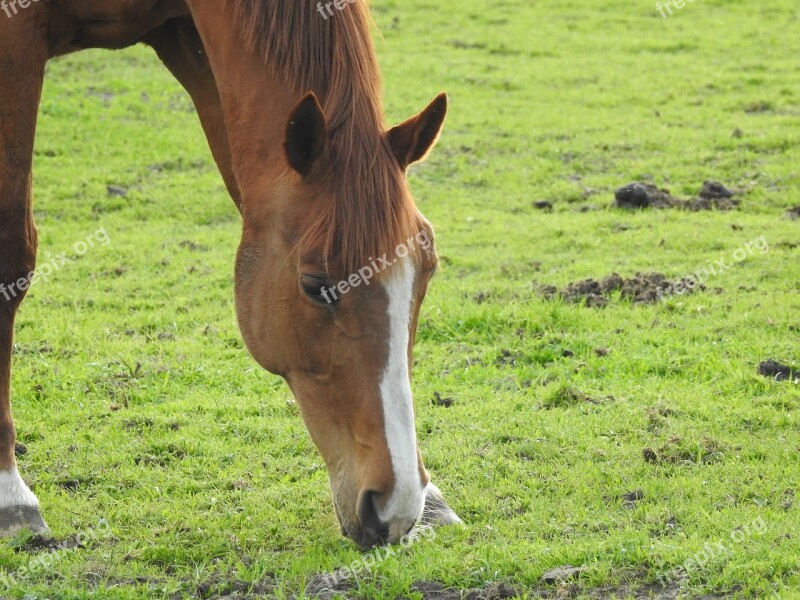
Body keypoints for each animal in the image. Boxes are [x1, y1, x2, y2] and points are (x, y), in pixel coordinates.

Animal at [0, 0, 460, 548]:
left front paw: (431, 499)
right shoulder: (14, 40)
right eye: (317, 286)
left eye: (426, 272)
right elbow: (10, 256)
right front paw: (10, 493)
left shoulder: (189, 38)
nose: (396, 505)